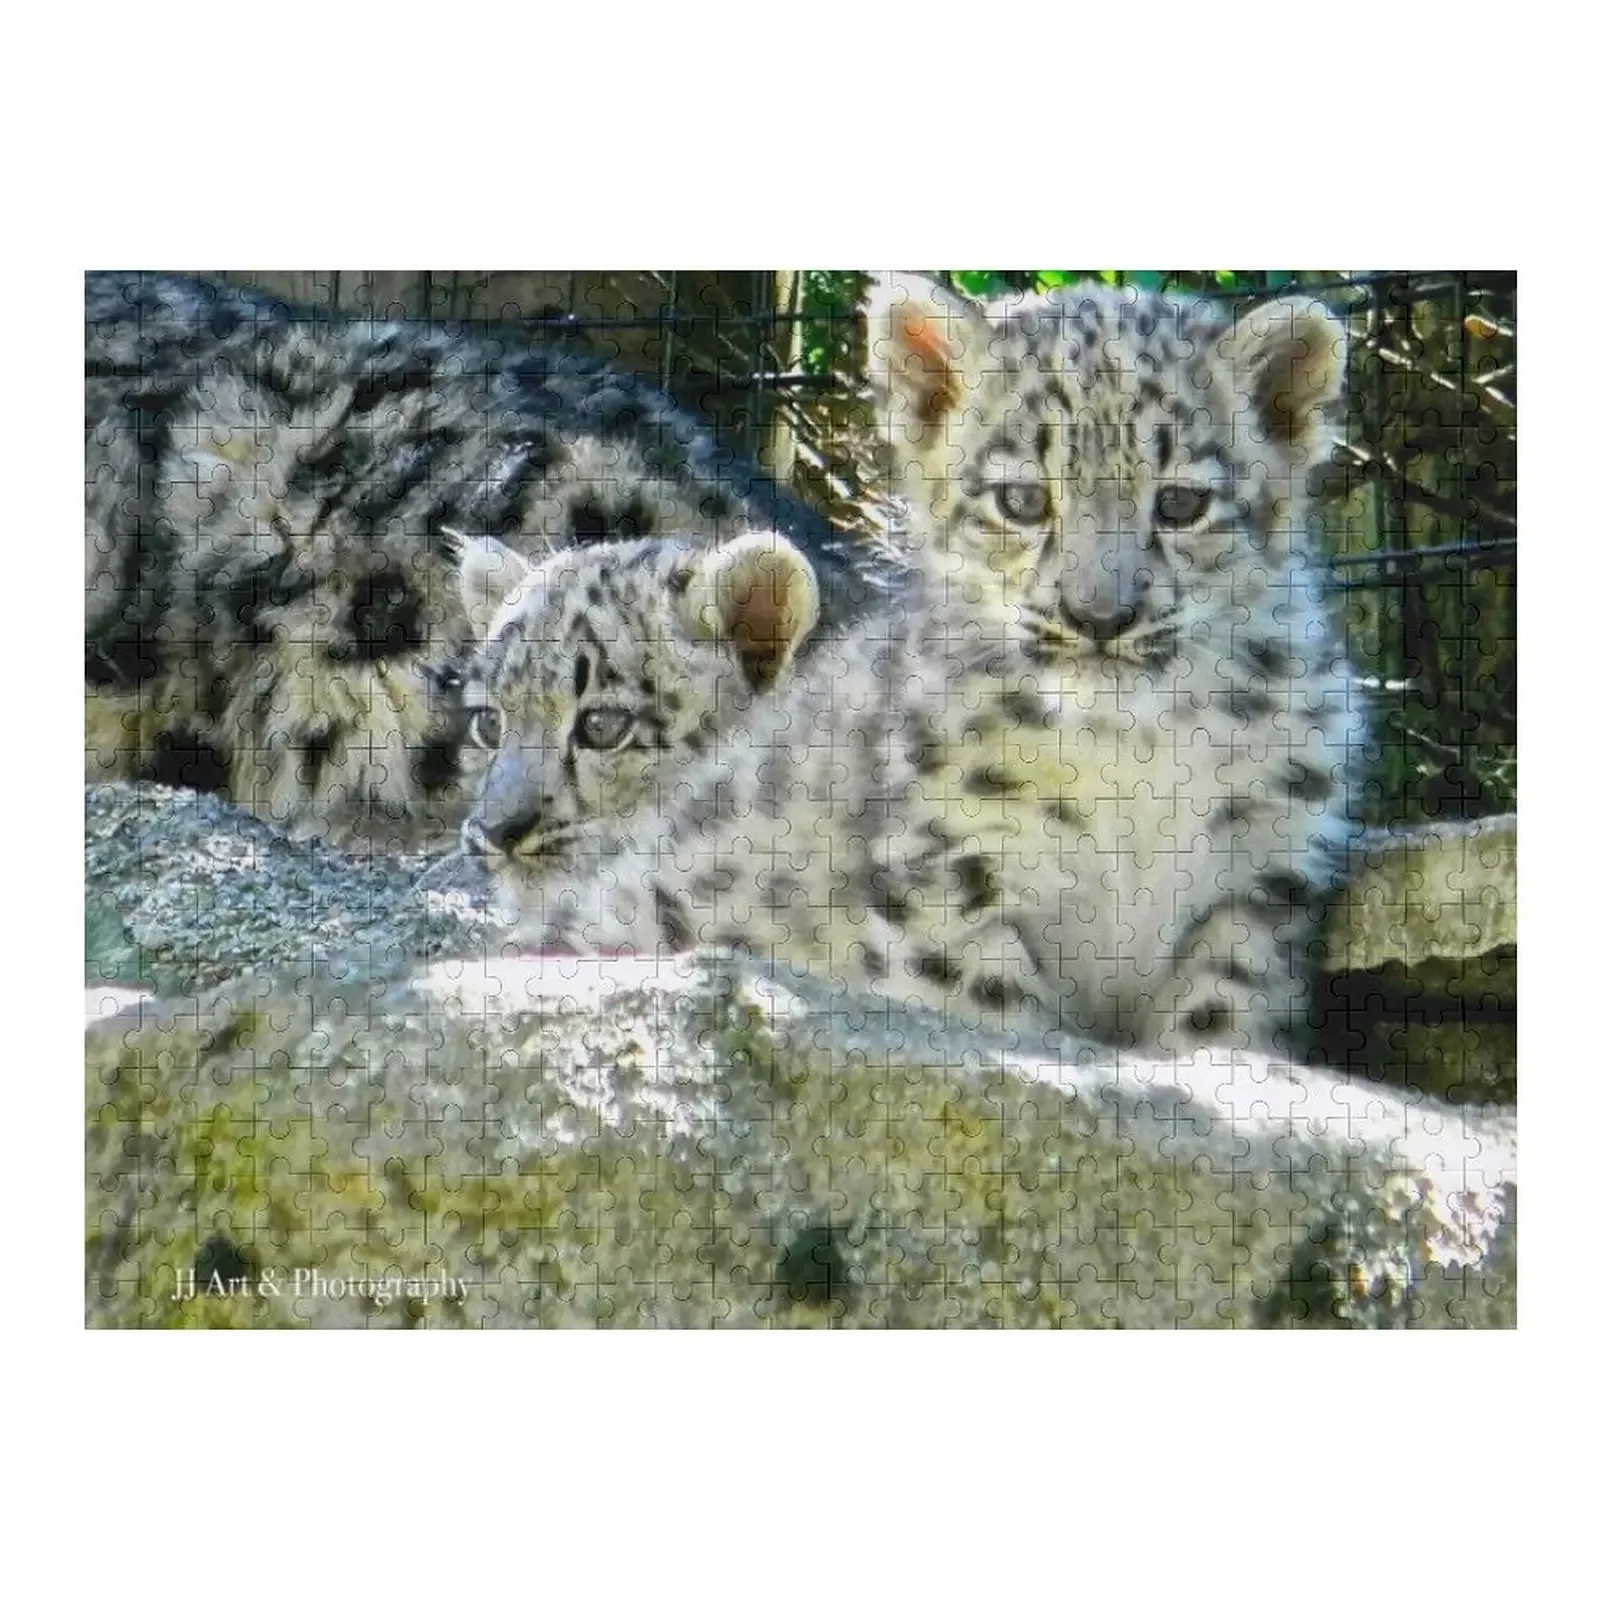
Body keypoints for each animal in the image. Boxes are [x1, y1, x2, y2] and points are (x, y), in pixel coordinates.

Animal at [462, 272, 1362, 1060]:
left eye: (1180, 502)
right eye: (1022, 499)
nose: (1098, 617)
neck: (1129, 758)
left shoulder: (1259, 885)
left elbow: (1218, 1026)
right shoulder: (951, 872)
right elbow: (991, 1021)